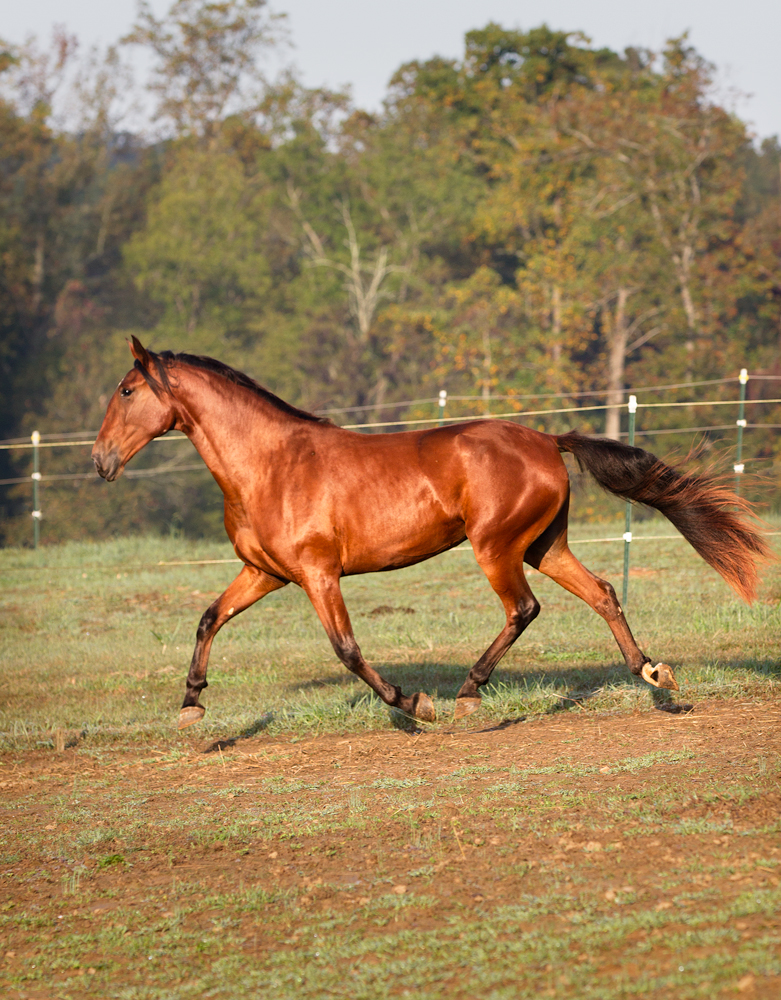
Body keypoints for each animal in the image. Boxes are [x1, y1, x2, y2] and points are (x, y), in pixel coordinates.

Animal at [93, 342, 768, 728]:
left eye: (126, 391)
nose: (100, 461)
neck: (271, 465)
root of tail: (546, 440)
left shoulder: (317, 573)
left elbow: (347, 650)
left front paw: (414, 704)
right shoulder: (265, 572)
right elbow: (209, 617)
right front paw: (191, 704)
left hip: (497, 548)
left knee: (524, 608)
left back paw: (469, 694)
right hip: (545, 546)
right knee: (602, 591)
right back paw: (654, 677)